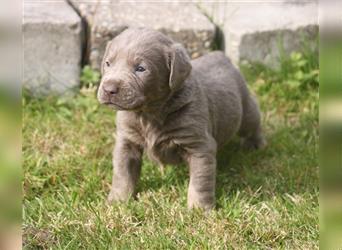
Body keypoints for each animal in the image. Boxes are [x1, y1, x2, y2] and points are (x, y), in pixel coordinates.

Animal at [97, 27, 266, 210]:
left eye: (141, 69)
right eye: (108, 63)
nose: (109, 89)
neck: (148, 114)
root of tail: (220, 55)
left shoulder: (199, 146)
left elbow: (200, 182)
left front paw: (199, 209)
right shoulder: (127, 141)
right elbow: (123, 173)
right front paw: (118, 202)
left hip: (245, 109)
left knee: (253, 122)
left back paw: (256, 145)